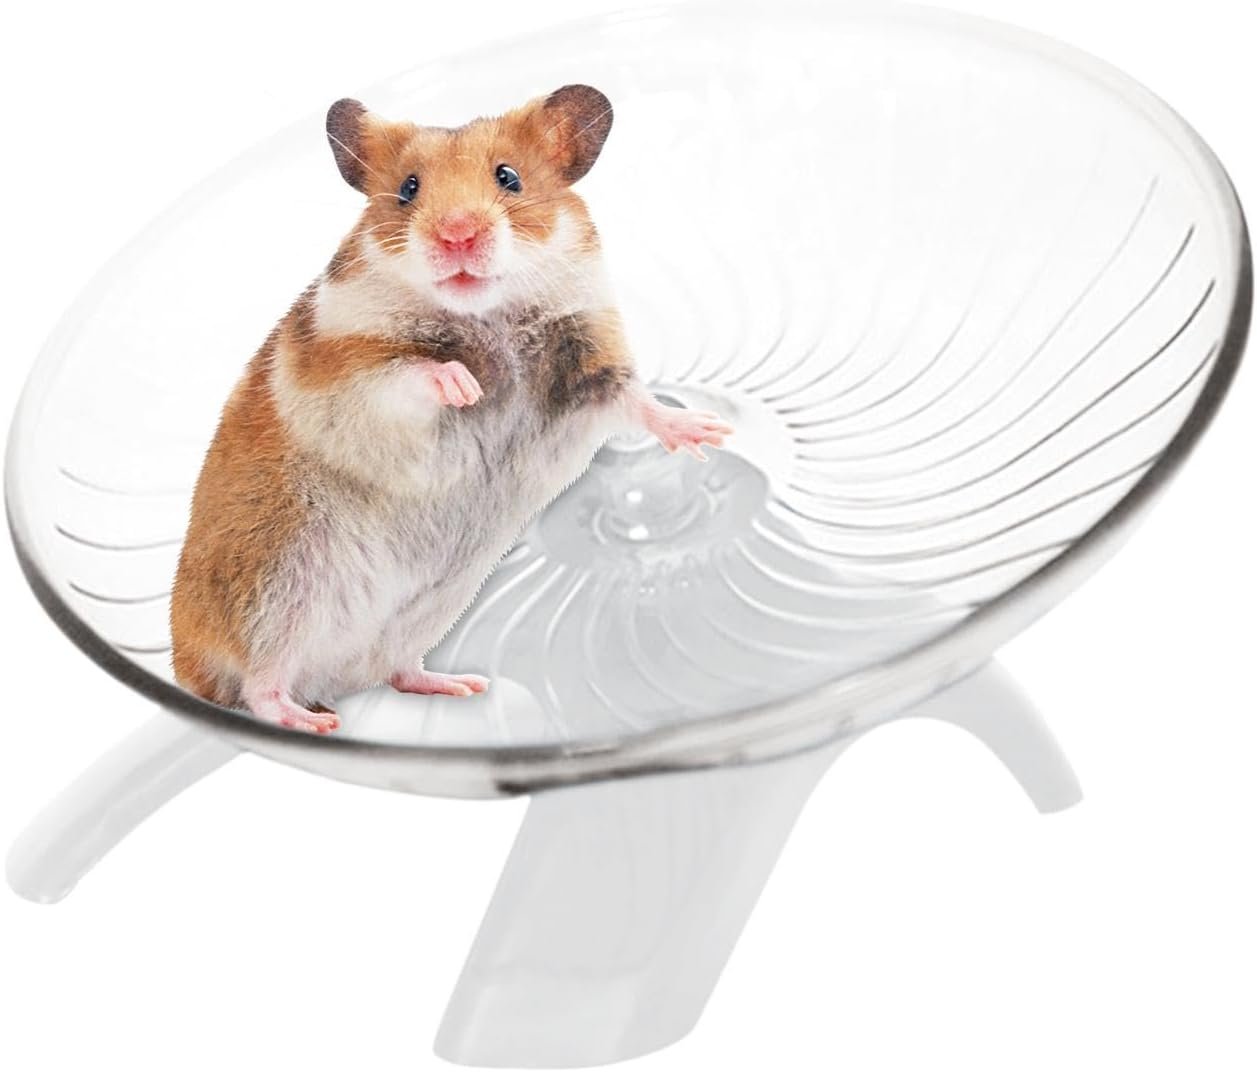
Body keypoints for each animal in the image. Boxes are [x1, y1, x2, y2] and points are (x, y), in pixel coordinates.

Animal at [169, 85, 732, 733]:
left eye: (509, 177)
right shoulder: (345, 373)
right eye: (408, 188)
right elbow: (409, 374)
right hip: (276, 591)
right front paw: (465, 386)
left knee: (394, 671)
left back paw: (461, 685)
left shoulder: (590, 364)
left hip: (423, 610)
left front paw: (710, 432)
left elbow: (636, 401)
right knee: (259, 684)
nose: (457, 236)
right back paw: (313, 721)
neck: (486, 314)